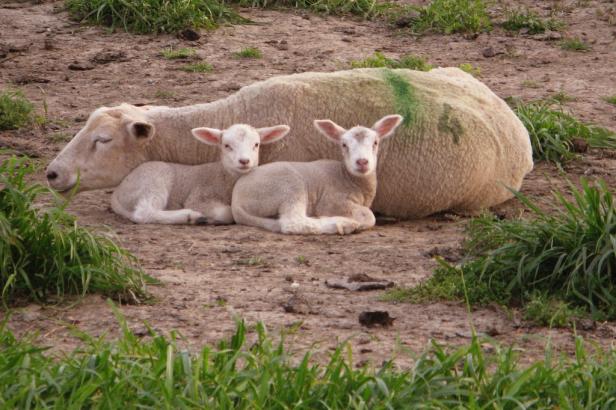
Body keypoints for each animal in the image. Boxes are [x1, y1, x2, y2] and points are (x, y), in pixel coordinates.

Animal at [110, 122, 288, 224]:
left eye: (256, 144)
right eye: (227, 146)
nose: (244, 161)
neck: (223, 176)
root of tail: (117, 192)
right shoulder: (199, 197)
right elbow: (226, 212)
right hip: (153, 181)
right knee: (144, 212)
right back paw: (191, 217)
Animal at [232, 113, 404, 235]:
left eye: (375, 143)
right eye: (344, 145)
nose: (362, 162)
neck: (349, 178)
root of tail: (236, 201)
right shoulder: (333, 201)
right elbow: (369, 216)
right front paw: (357, 223)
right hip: (289, 186)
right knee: (293, 222)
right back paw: (341, 224)